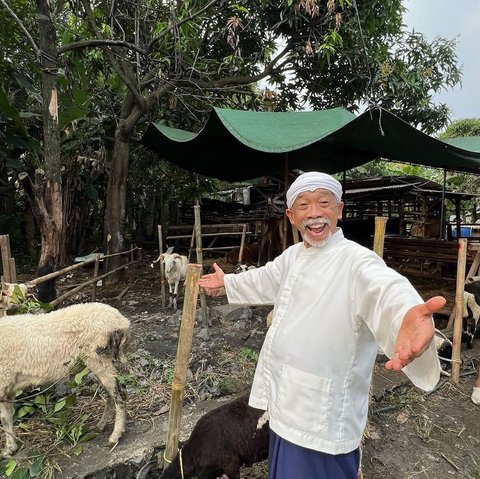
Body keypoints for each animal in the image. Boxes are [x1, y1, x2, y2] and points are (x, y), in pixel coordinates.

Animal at [0, 304, 129, 458]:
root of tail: (121, 322)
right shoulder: (7, 387)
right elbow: (6, 419)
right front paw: (10, 449)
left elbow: (3, 419)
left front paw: (8, 450)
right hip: (100, 360)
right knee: (111, 392)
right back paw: (101, 425)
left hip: (98, 355)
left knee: (119, 394)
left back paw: (115, 436)